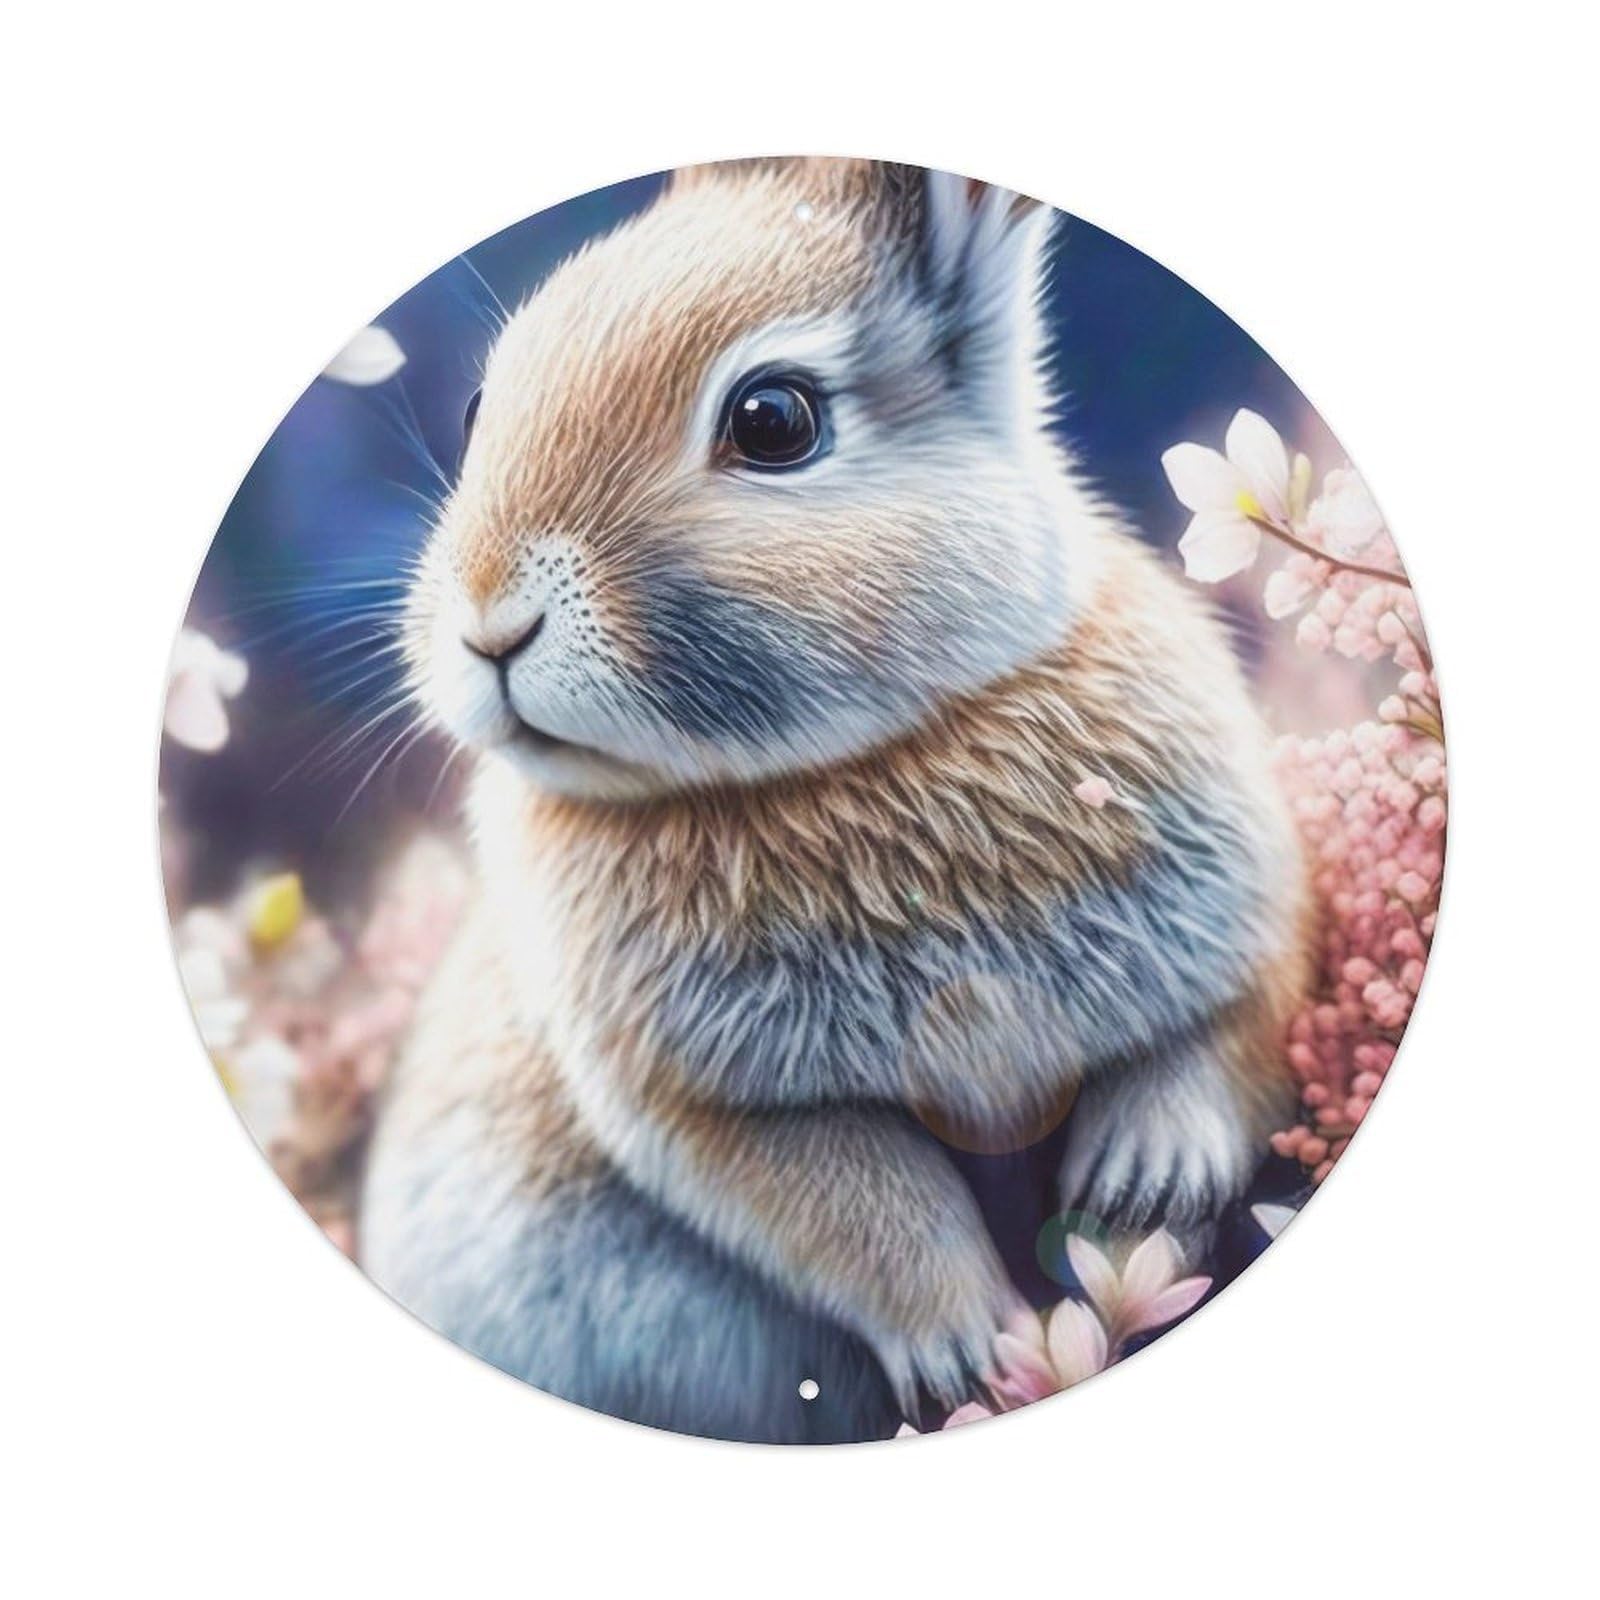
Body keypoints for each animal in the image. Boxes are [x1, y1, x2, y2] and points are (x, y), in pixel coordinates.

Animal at [360, 157, 1308, 1442]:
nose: (487, 623)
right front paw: (978, 1351)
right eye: (477, 410)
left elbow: (1225, 1036)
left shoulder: (1253, 913)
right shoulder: (712, 1111)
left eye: (773, 420)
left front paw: (1141, 1181)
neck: (842, 762)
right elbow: (862, 1207)